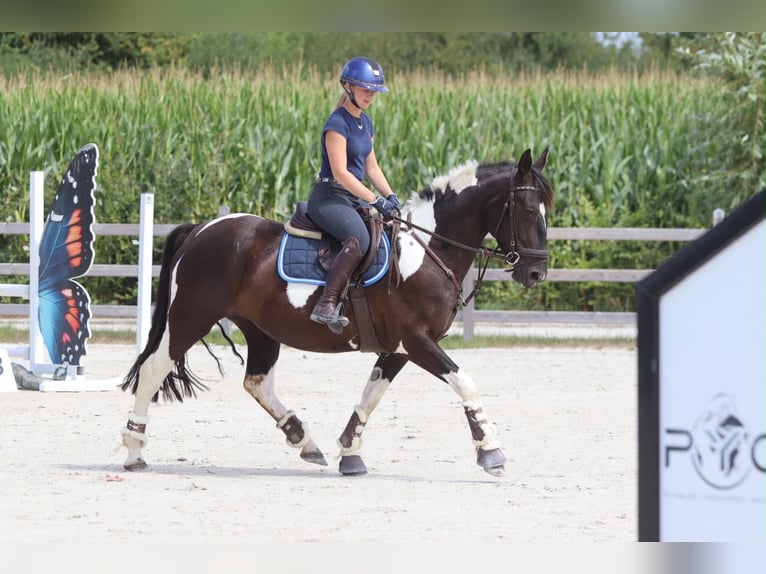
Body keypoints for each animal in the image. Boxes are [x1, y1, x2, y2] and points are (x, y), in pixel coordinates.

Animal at [120, 147, 553, 477]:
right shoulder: (417, 341)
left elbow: (371, 395)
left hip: (261, 330)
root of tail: (201, 229)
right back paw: (134, 451)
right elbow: (466, 383)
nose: (536, 272)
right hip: (190, 317)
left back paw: (304, 440)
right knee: (153, 370)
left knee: (257, 382)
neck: (426, 251)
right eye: (530, 211)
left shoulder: (398, 348)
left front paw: (350, 452)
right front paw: (490, 452)